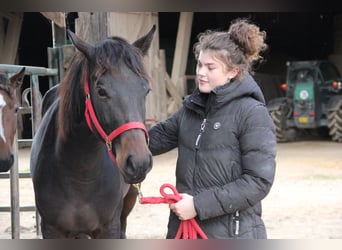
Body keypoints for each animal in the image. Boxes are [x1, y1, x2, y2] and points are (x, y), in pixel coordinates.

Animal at [30, 26, 156, 239]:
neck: (81, 176)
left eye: (146, 90)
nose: (139, 162)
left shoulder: (109, 227)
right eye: (101, 91)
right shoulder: (52, 230)